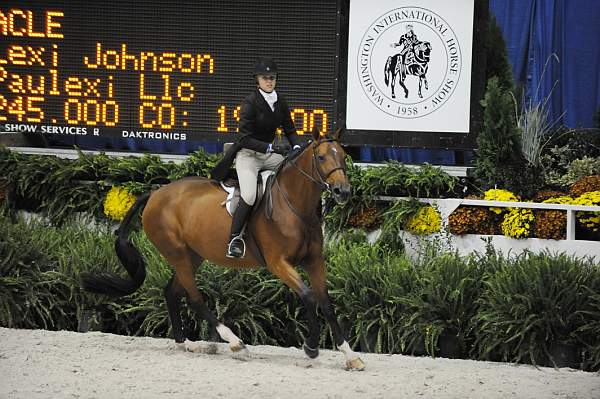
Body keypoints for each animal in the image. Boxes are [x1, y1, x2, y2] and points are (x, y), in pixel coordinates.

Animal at [81, 128, 366, 372]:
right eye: (321, 157)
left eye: (343, 155)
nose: (343, 191)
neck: (295, 206)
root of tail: (155, 194)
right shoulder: (278, 263)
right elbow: (308, 297)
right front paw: (311, 347)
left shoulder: (314, 261)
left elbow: (326, 303)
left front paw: (350, 356)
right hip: (177, 254)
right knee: (194, 299)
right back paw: (236, 343)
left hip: (192, 255)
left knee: (172, 292)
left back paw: (186, 344)